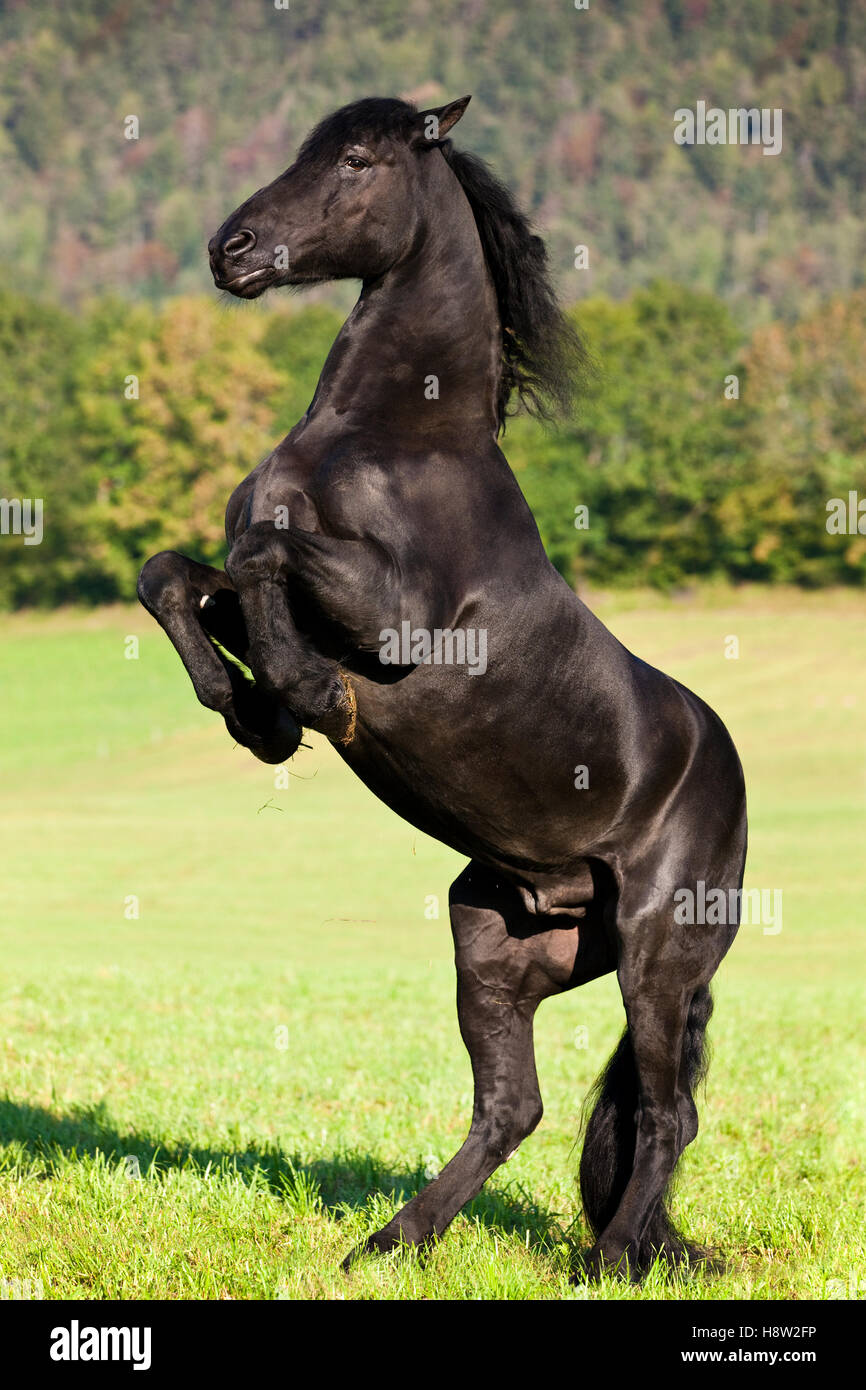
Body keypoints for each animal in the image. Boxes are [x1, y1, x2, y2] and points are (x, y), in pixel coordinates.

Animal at [139, 92, 750, 1273]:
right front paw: (251, 714)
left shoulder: (395, 617)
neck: (390, 438)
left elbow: (264, 556)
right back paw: (390, 1241)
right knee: (514, 1106)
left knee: (665, 1112)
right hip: (499, 940)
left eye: (356, 161)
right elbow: (178, 573)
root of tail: (730, 781)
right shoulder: (252, 572)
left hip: (658, 952)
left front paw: (298, 700)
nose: (230, 249)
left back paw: (607, 1260)